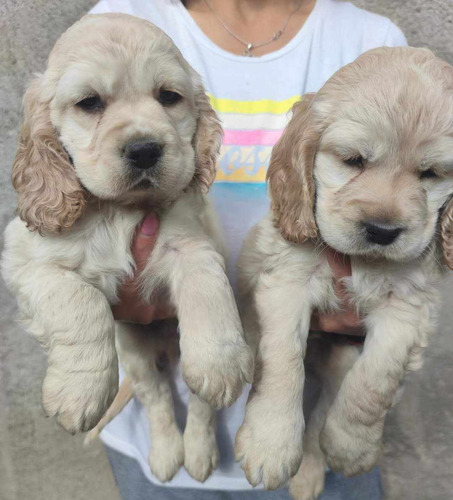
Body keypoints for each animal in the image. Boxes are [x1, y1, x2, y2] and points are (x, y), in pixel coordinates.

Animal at [1, 13, 252, 482]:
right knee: (155, 397)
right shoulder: (24, 260)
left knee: (201, 404)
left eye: (169, 97)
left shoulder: (192, 240)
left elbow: (207, 285)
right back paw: (167, 455)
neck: (118, 211)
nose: (144, 149)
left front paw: (220, 362)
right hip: (133, 353)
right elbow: (79, 300)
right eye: (89, 103)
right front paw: (78, 392)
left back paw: (199, 452)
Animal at [233, 46, 452, 496]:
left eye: (430, 174)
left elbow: (374, 380)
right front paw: (270, 445)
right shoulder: (286, 282)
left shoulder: (408, 309)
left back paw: (311, 471)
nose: (382, 231)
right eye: (354, 161)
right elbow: (283, 361)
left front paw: (352, 449)